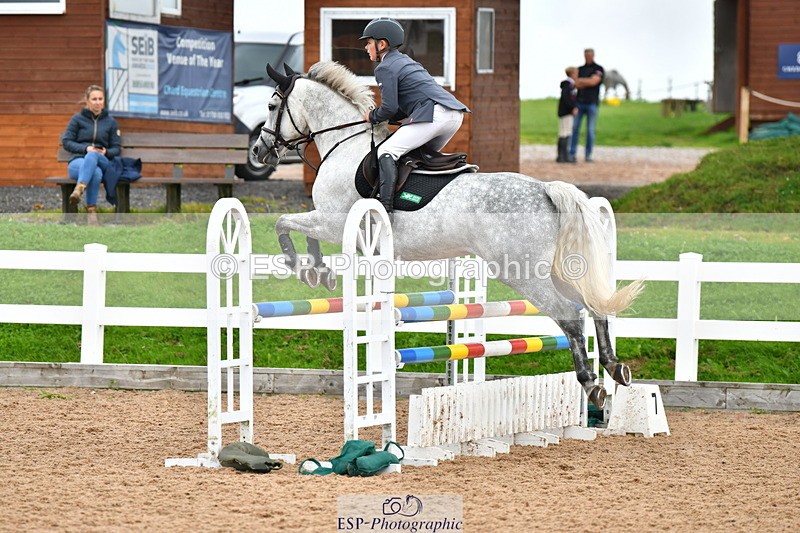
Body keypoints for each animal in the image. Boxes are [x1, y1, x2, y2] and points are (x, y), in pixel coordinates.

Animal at [252, 61, 643, 409]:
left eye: (271, 106)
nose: (258, 151)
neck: (343, 145)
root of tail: (545, 189)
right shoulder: (331, 224)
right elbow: (298, 230)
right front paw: (319, 272)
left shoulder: (331, 222)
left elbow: (284, 223)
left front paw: (307, 269)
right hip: (556, 269)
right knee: (592, 304)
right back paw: (614, 367)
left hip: (523, 272)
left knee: (569, 314)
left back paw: (592, 384)